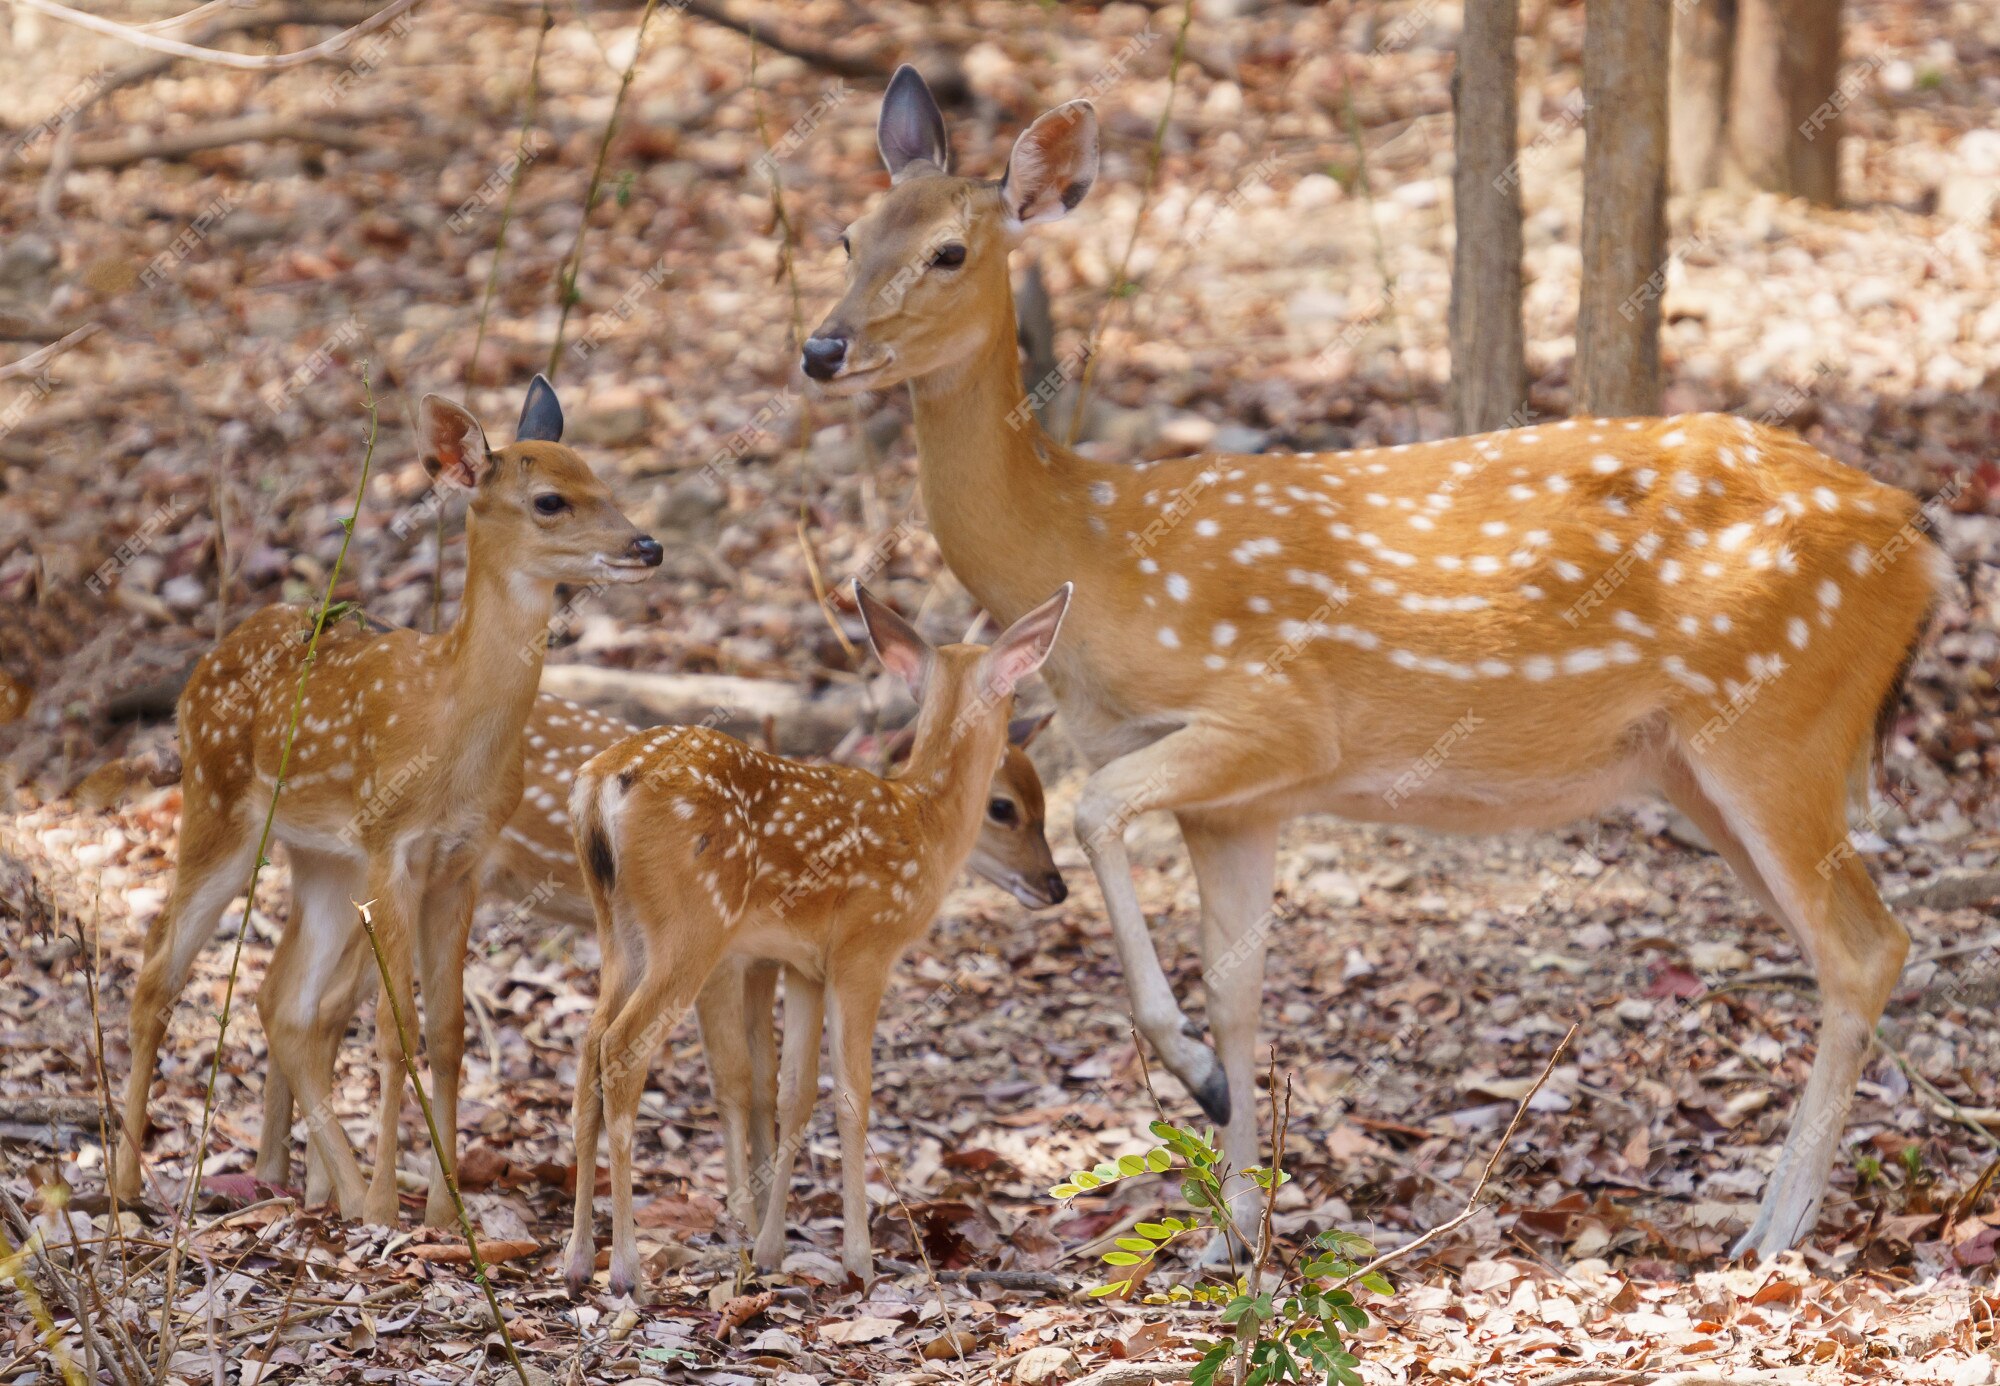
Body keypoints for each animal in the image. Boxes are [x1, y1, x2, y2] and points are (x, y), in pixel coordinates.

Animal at [117, 376, 664, 1224]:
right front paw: (385, 1208)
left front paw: (443, 1209)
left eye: (602, 480)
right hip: (217, 805)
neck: (449, 727)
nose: (647, 546)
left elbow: (447, 1029)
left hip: (320, 858)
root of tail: (207, 659)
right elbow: (392, 1026)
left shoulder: (460, 862)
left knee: (285, 1001)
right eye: (549, 500)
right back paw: (127, 1187)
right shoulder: (392, 845)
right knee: (157, 971)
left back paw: (314, 1186)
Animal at [556, 588, 1072, 1296]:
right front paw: (859, 1259)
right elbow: (852, 1095)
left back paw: (577, 1258)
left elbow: (793, 1091)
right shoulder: (864, 950)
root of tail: (601, 783)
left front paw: (772, 1249)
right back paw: (626, 1268)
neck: (923, 823)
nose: (1057, 887)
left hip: (618, 926)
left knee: (587, 1047)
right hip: (692, 925)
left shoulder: (804, 965)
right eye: (1006, 808)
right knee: (622, 1048)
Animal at [800, 65, 1952, 1256]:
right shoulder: (1237, 805)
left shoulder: (1278, 718)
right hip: (1697, 762)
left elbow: (1097, 814)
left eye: (948, 252)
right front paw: (1231, 1235)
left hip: (1779, 724)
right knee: (1848, 949)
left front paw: (1196, 1083)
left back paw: (1773, 1235)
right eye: (845, 236)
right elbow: (1240, 990)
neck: (1090, 549)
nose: (821, 349)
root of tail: (1920, 545)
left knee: (1866, 946)